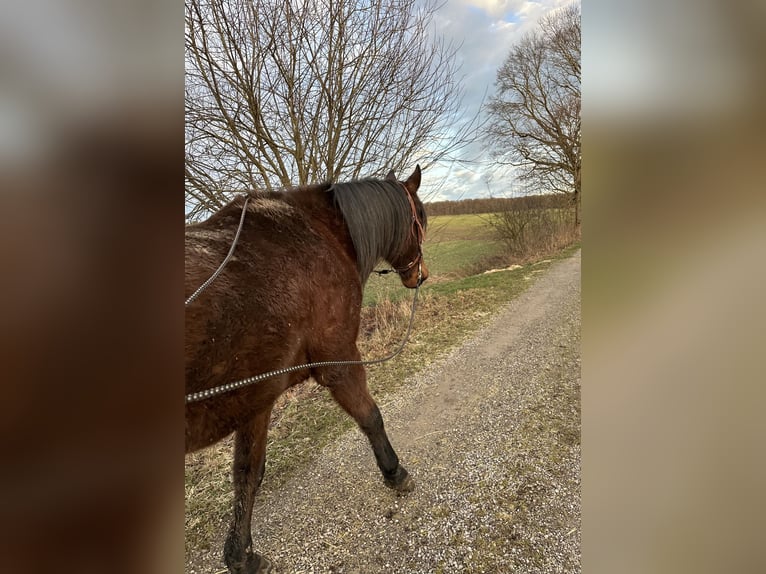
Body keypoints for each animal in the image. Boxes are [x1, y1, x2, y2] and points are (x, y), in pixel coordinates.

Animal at [184, 166, 428, 574]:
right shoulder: (339, 359)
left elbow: (247, 474)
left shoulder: (257, 398)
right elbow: (370, 417)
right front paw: (395, 473)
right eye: (421, 218)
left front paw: (242, 555)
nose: (420, 276)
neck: (318, 235)